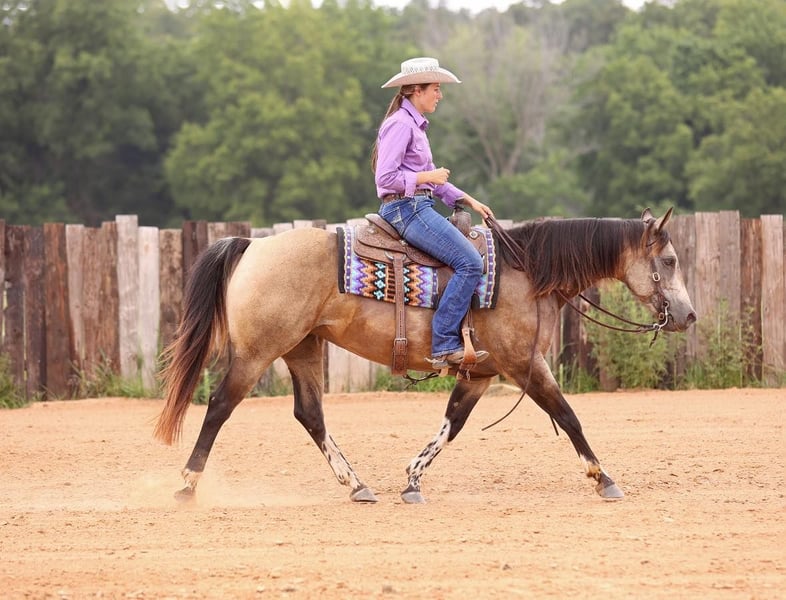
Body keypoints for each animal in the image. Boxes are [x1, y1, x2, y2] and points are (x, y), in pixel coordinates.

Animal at [154, 208, 696, 503]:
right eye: (669, 260)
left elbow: (452, 424)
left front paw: (413, 480)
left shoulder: (481, 372)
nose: (688, 315)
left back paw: (357, 485)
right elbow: (569, 416)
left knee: (310, 414)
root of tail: (253, 247)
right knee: (220, 406)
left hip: (303, 349)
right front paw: (604, 478)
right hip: (257, 352)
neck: (527, 273)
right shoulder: (525, 366)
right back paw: (186, 484)